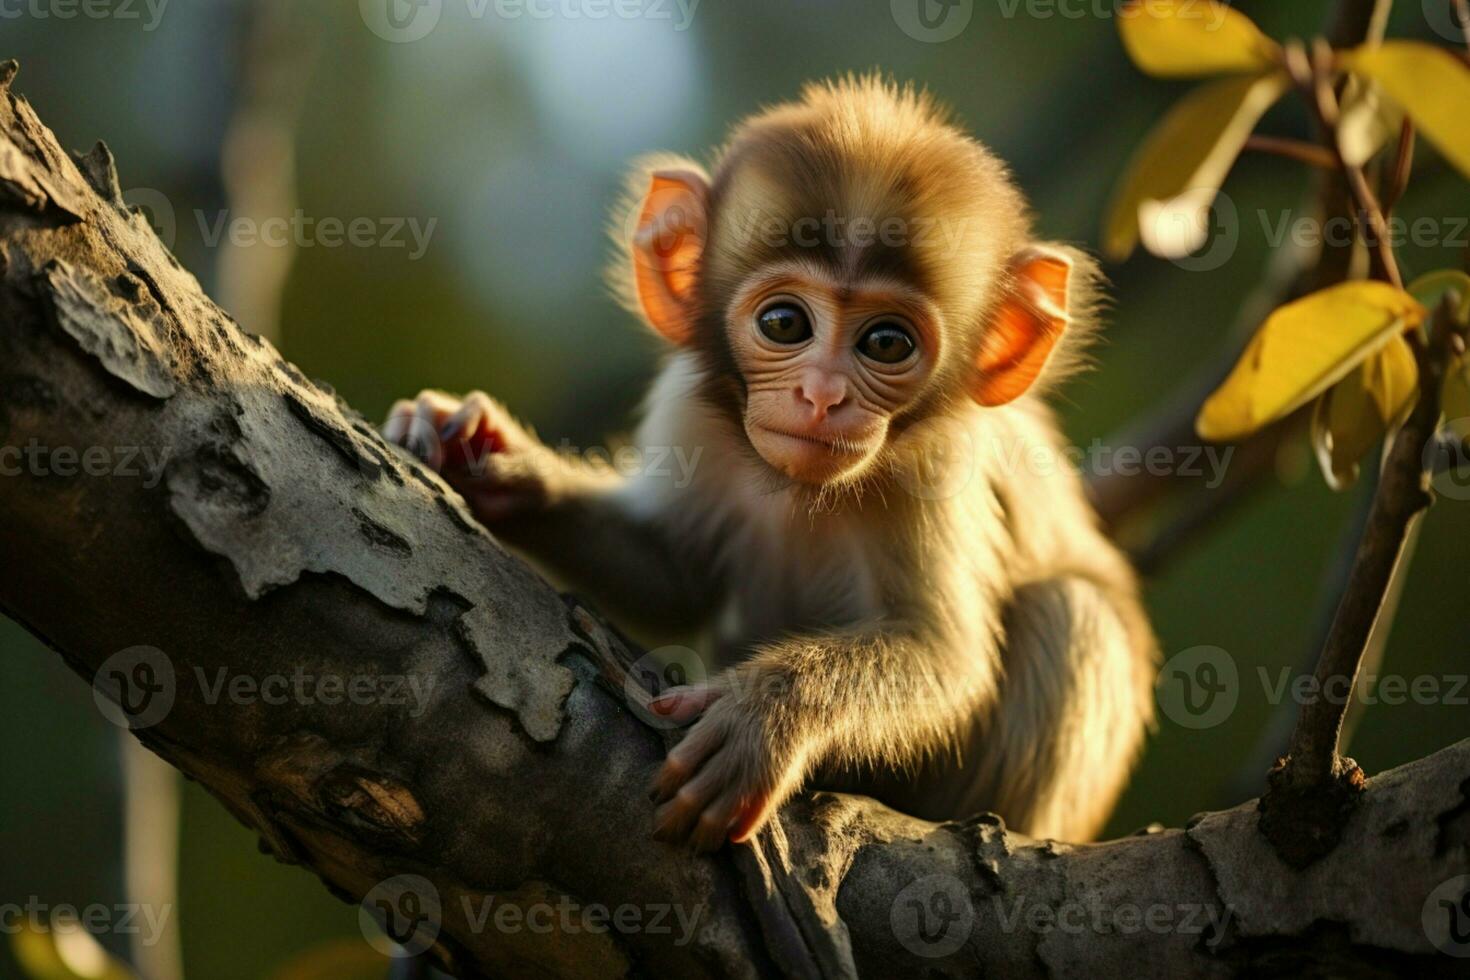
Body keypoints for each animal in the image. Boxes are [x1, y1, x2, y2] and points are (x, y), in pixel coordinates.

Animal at [388, 78, 1158, 852]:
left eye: (886, 342)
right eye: (784, 324)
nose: (821, 395)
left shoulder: (940, 466)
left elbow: (944, 655)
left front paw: (767, 714)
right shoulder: (690, 408)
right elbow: (674, 575)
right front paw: (485, 458)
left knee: (1074, 609)